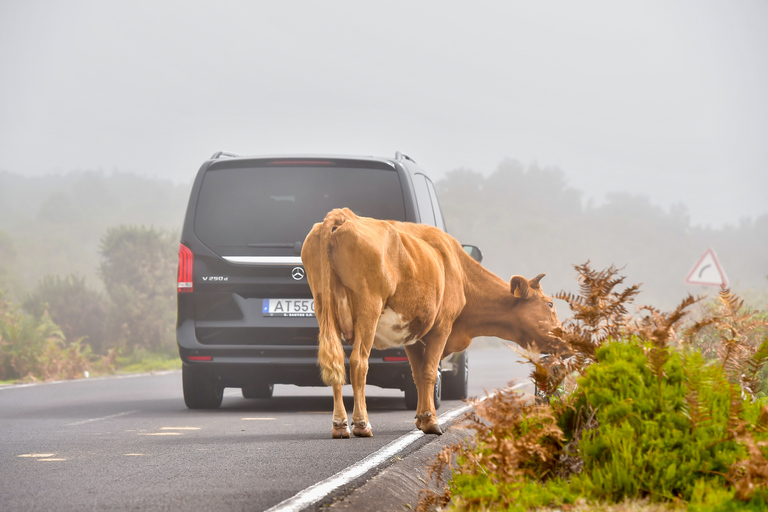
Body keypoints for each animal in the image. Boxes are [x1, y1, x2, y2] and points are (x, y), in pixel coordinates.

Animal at [302, 206, 564, 438]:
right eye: (550, 304)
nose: (565, 338)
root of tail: (344, 216)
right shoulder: (442, 327)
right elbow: (429, 372)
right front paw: (431, 421)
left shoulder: (411, 335)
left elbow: (417, 375)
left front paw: (420, 418)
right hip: (369, 307)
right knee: (358, 362)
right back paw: (361, 424)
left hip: (324, 307)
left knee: (336, 364)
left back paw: (339, 425)